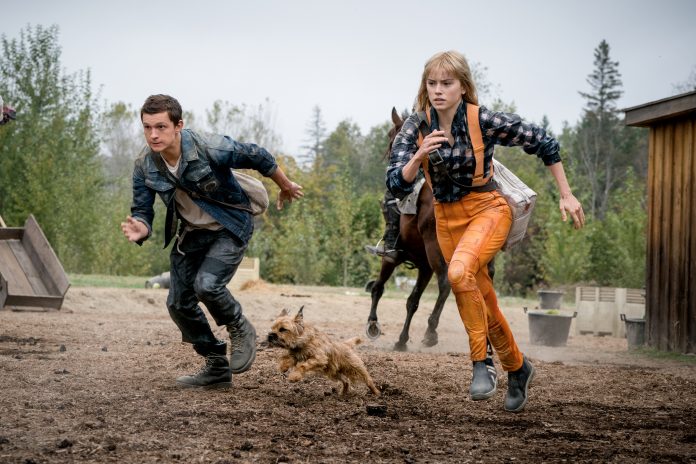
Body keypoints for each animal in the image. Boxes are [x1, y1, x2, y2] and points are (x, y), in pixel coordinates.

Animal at [364, 107, 452, 350]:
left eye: (391, 135)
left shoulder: (391, 258)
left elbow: (378, 287)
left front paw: (373, 325)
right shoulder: (424, 267)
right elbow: (412, 301)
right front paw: (402, 340)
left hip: (435, 249)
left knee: (446, 283)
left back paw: (431, 331)